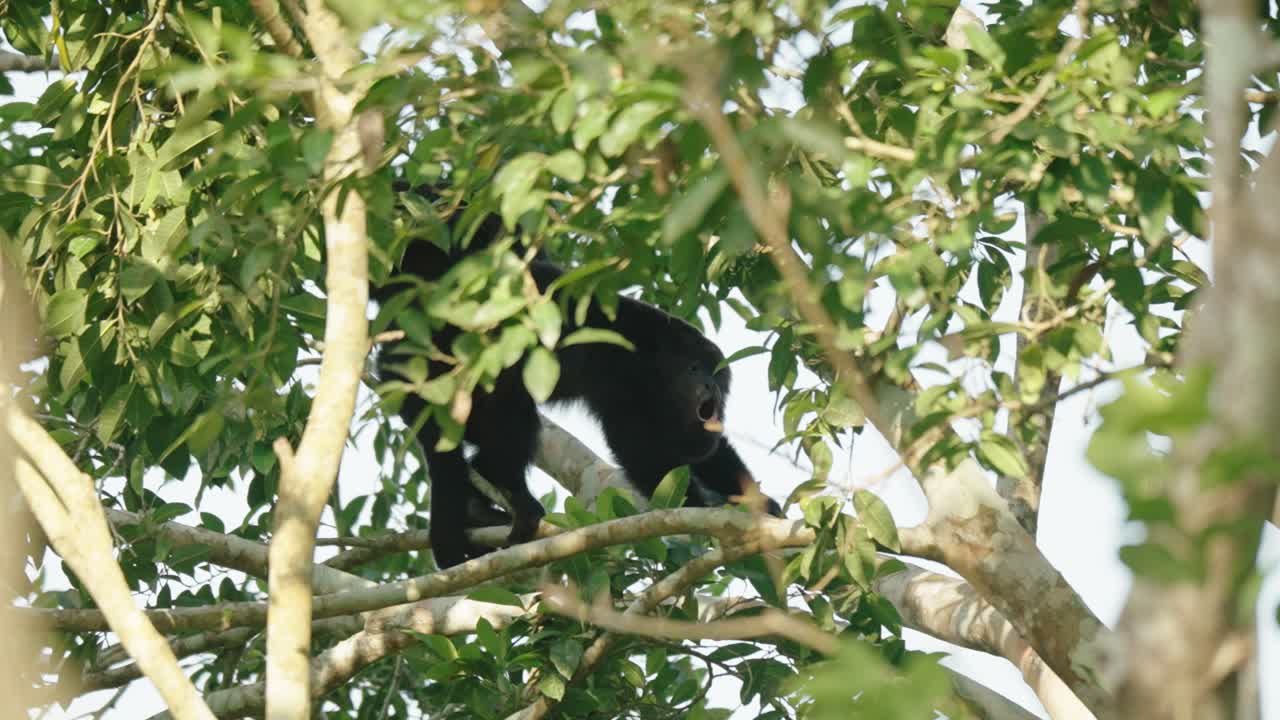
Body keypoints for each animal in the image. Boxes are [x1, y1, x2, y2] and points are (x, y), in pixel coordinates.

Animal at [372, 187, 780, 569]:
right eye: (694, 369)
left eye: (716, 375)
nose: (710, 387)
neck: (652, 353)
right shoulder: (624, 376)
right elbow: (642, 450)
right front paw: (701, 506)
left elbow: (699, 447)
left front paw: (758, 502)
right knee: (474, 433)